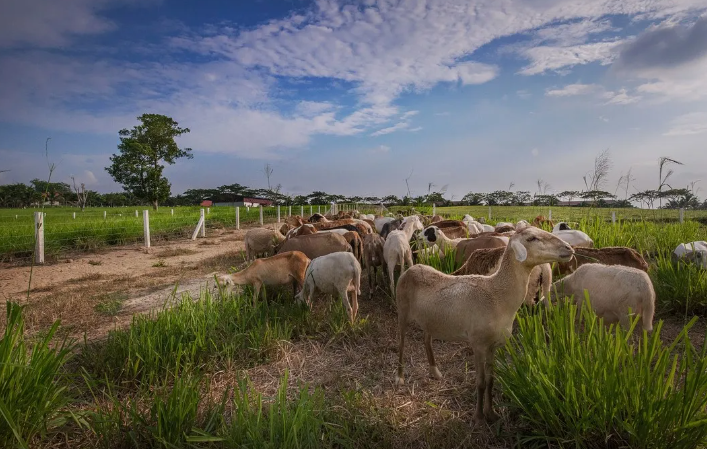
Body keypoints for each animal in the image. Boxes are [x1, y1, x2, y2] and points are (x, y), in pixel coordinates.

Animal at [396, 228, 572, 424]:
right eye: (532, 238)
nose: (569, 248)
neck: (497, 294)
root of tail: (412, 268)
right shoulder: (478, 344)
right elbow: (480, 383)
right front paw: (479, 417)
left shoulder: (493, 345)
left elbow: (491, 380)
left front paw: (491, 413)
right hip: (402, 311)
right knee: (401, 342)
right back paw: (400, 377)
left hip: (431, 319)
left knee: (426, 339)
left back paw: (435, 372)